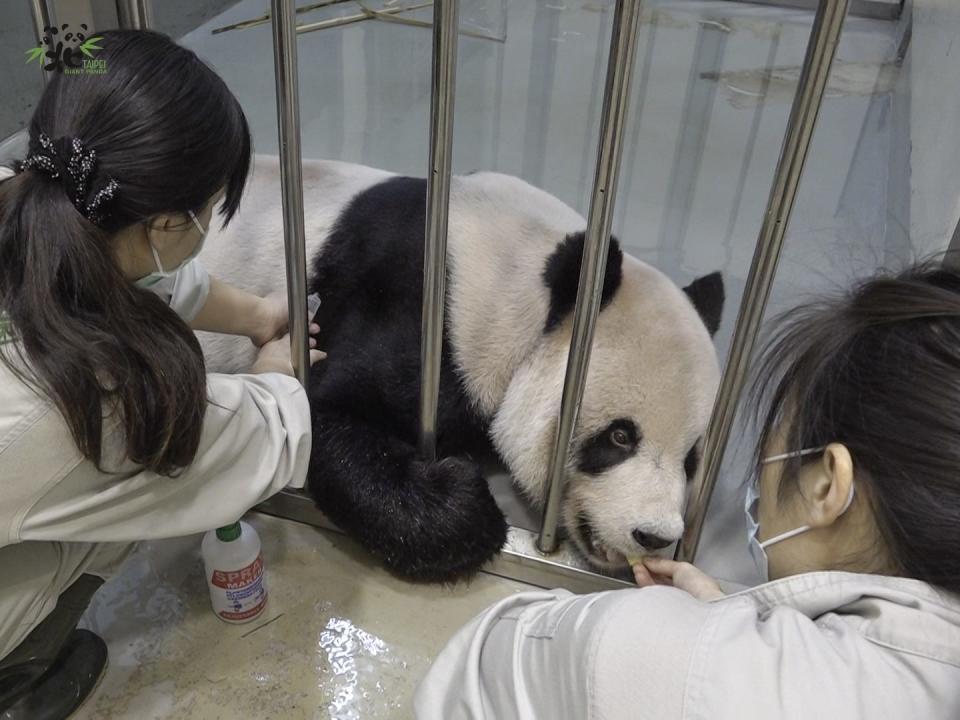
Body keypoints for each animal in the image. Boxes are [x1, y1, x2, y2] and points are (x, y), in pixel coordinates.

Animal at [204, 158, 728, 584]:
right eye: (620, 437)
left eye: (691, 459)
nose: (655, 535)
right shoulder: (419, 312)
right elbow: (323, 410)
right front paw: (466, 497)